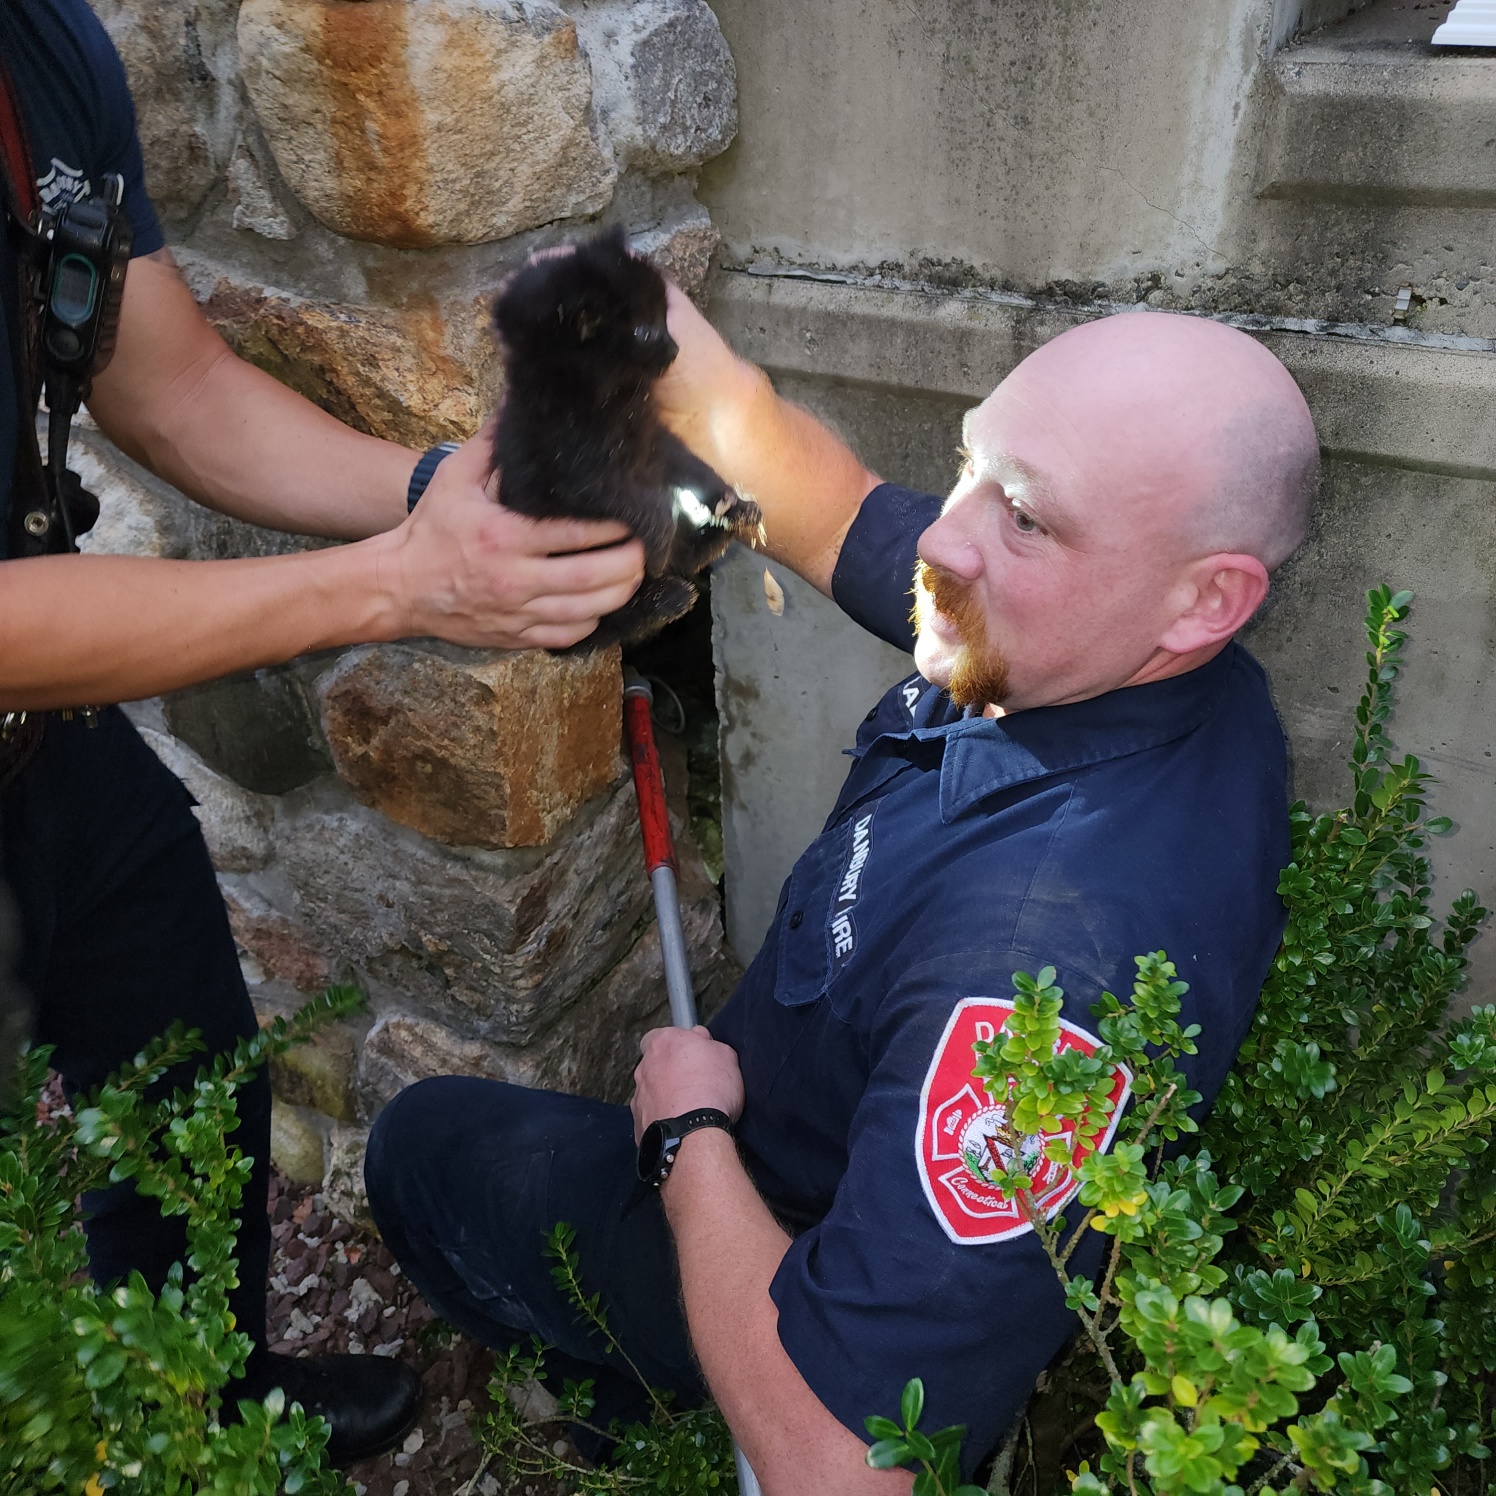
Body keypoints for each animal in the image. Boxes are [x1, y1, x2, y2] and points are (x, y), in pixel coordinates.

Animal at [490, 225, 759, 649]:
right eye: (643, 331)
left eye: (667, 319)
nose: (676, 348)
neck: (609, 402)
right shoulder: (575, 476)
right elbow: (640, 502)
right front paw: (660, 537)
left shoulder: (655, 441)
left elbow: (687, 462)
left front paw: (726, 497)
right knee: (604, 626)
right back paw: (665, 597)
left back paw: (725, 527)